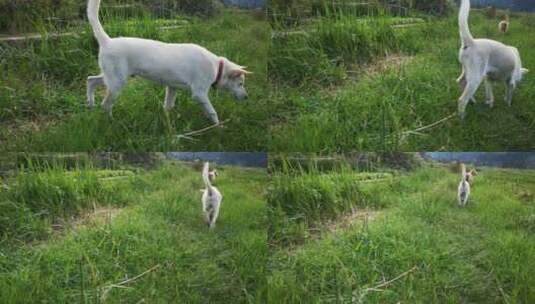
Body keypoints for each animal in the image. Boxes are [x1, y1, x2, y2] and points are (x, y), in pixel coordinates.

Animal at [86, 0, 251, 124]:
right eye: (240, 84)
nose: (246, 97)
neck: (217, 67)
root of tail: (107, 41)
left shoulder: (172, 88)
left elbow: (168, 106)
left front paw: (168, 124)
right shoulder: (199, 94)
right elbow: (212, 112)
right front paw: (218, 126)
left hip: (111, 77)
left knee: (91, 80)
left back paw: (90, 103)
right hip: (117, 83)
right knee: (105, 104)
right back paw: (110, 121)